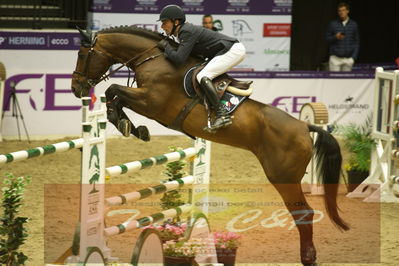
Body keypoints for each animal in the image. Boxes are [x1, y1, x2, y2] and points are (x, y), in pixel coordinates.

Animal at [72, 26, 350, 264]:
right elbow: (115, 95)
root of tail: (304, 126)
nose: (76, 89)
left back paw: (308, 257)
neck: (153, 58)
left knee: (304, 214)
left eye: (82, 54)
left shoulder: (152, 102)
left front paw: (125, 123)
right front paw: (132, 127)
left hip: (283, 177)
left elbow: (113, 90)